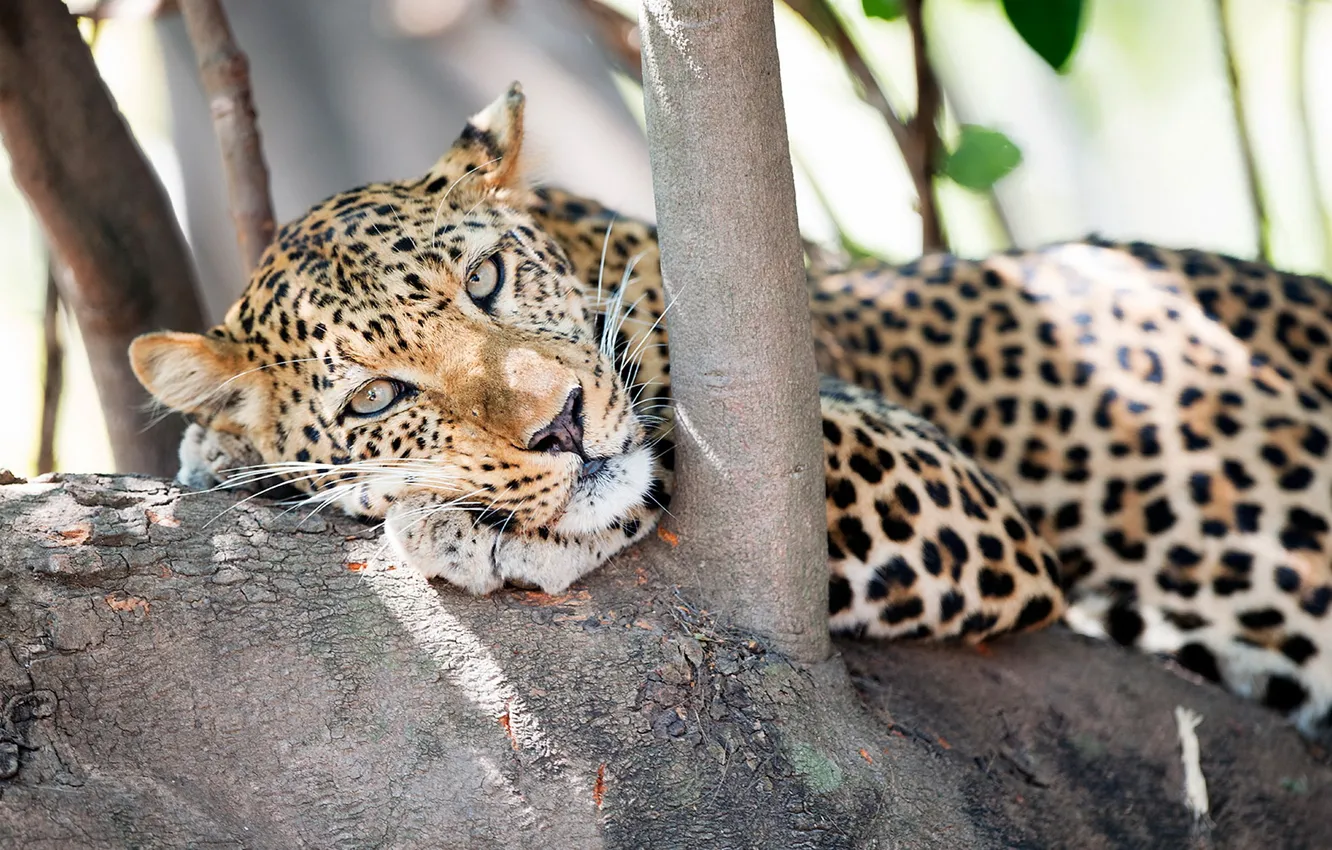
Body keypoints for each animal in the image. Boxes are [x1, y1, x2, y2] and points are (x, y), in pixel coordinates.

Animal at [132, 83, 1332, 740]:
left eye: (483, 279)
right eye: (380, 395)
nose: (561, 424)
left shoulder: (944, 483)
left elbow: (679, 449)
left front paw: (474, 524)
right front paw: (214, 454)